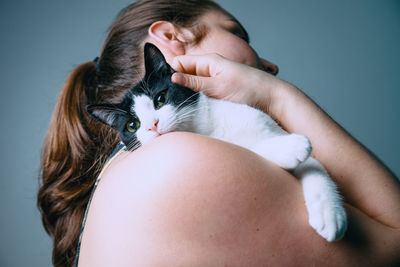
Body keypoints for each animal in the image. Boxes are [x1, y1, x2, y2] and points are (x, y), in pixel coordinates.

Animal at [86, 42, 346, 243]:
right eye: (132, 126)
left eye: (160, 99)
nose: (152, 125)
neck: (204, 129)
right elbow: (253, 149)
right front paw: (291, 147)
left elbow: (315, 164)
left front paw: (330, 215)